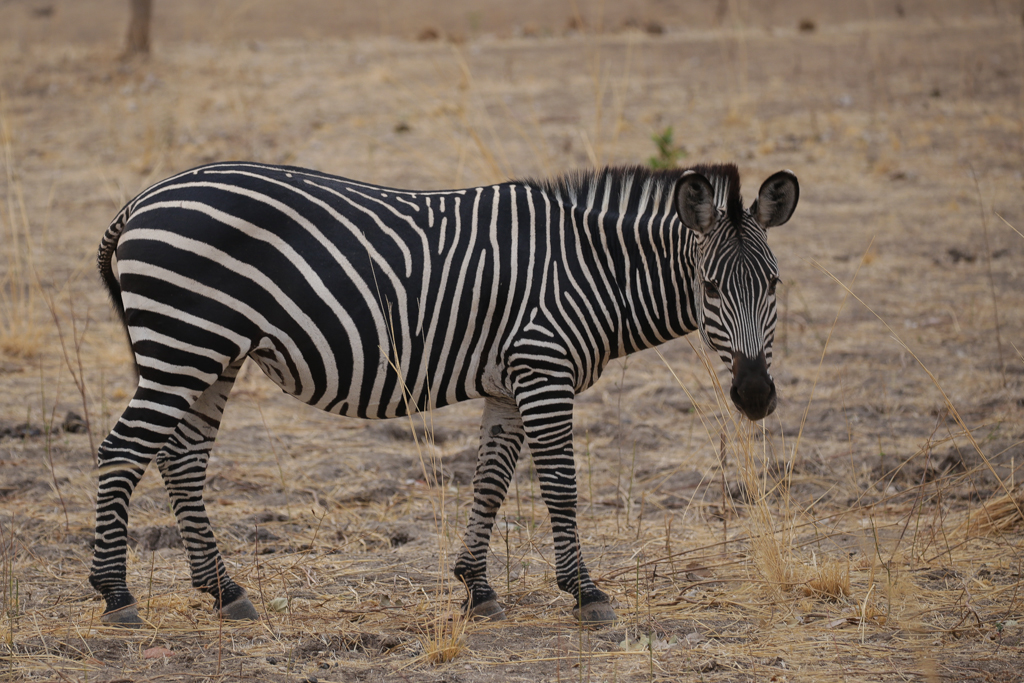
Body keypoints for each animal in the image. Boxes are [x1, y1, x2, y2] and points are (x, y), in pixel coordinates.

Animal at [90, 160, 798, 626]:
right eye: (711, 288)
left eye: (774, 284)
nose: (755, 396)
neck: (591, 271)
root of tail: (139, 202)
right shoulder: (543, 369)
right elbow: (560, 485)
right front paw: (585, 592)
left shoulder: (510, 385)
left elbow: (489, 483)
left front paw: (477, 589)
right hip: (185, 344)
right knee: (121, 452)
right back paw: (116, 597)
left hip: (213, 357)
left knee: (181, 460)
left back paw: (223, 591)